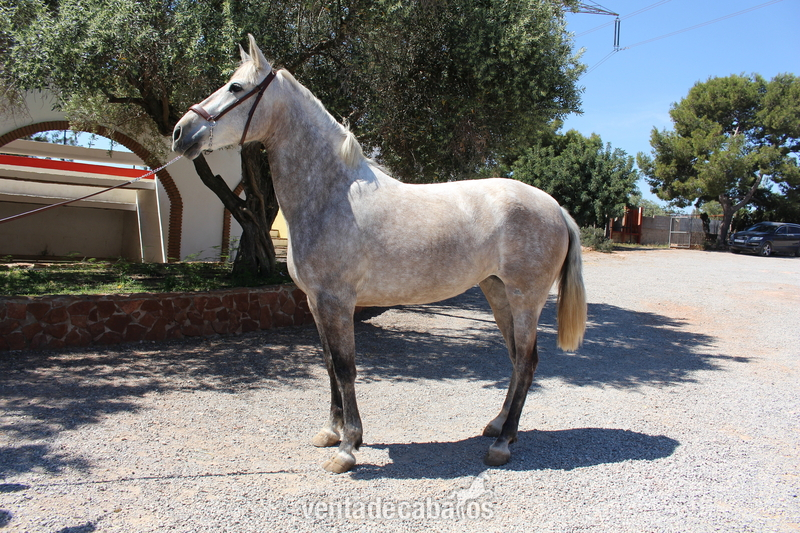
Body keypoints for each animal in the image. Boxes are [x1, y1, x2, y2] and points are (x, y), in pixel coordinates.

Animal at [172, 35, 587, 474]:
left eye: (236, 87)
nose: (181, 132)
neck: (333, 194)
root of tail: (555, 207)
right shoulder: (316, 302)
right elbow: (329, 365)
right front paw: (333, 432)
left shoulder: (337, 301)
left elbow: (345, 368)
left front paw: (348, 448)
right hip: (498, 292)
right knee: (515, 358)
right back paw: (497, 426)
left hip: (526, 299)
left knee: (526, 362)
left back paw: (503, 443)